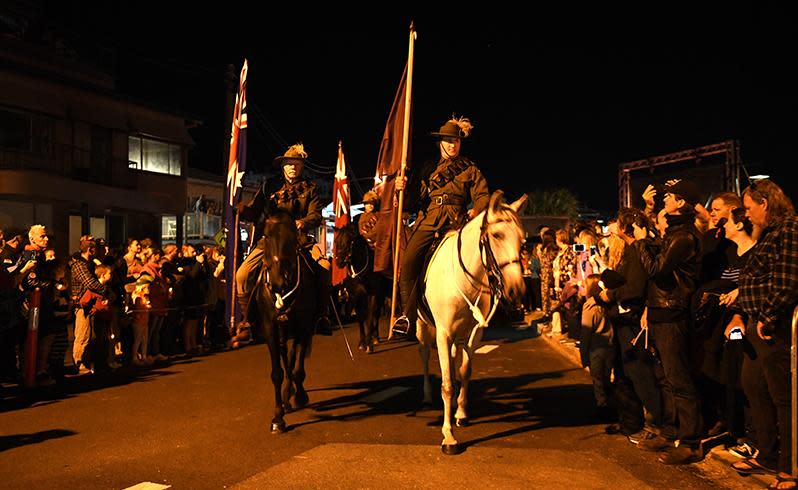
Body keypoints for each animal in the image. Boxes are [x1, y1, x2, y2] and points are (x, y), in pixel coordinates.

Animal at [258, 210, 318, 432]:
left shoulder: (304, 327)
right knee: (286, 357)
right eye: (266, 236)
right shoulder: (270, 329)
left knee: (293, 358)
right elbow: (278, 372)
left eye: (292, 238)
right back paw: (287, 395)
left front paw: (300, 396)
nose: (277, 281)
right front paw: (278, 418)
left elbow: (298, 367)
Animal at [416, 189, 528, 454]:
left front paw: (461, 413)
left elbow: (464, 372)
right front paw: (448, 436)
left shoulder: (474, 333)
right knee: (424, 354)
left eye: (522, 240)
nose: (516, 291)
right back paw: (426, 396)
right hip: (422, 326)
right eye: (497, 235)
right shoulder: (442, 333)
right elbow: (446, 383)